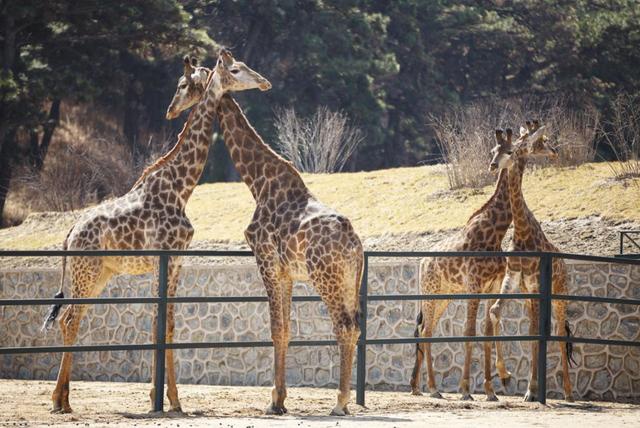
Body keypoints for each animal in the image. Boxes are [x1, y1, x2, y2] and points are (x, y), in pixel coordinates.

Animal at [41, 54, 268, 414]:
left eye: (182, 84)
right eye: (236, 69)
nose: (263, 82)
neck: (180, 189)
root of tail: (69, 235)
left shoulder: (177, 260)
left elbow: (169, 324)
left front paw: (172, 400)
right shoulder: (163, 256)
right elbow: (158, 323)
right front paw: (159, 399)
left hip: (97, 275)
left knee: (69, 319)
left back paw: (63, 398)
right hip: (85, 271)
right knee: (69, 320)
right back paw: (59, 401)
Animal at [165, 49, 364, 414]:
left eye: (183, 84)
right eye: (238, 68)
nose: (171, 109)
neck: (258, 183)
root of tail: (355, 245)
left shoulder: (266, 260)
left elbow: (275, 328)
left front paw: (274, 400)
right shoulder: (286, 272)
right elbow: (285, 329)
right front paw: (280, 398)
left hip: (326, 277)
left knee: (343, 326)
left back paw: (340, 403)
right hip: (348, 280)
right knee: (355, 326)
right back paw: (342, 400)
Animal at [410, 129, 516, 400]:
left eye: (509, 151)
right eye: (493, 150)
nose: (493, 165)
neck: (495, 233)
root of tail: (421, 262)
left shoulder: (492, 286)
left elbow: (486, 331)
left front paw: (492, 390)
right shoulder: (474, 285)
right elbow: (469, 331)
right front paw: (466, 389)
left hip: (444, 296)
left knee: (425, 330)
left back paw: (416, 387)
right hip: (430, 293)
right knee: (426, 331)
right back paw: (433, 389)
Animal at [490, 120, 576, 402]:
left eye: (510, 151)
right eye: (494, 149)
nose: (492, 165)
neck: (522, 230)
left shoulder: (537, 282)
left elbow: (541, 332)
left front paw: (530, 389)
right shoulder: (514, 277)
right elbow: (496, 311)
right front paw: (505, 376)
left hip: (560, 294)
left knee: (559, 332)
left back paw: (568, 392)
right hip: (530, 295)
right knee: (536, 327)